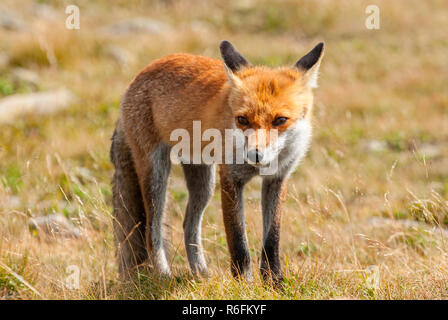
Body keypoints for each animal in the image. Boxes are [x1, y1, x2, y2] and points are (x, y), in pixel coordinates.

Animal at [110, 40, 324, 282]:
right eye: (242, 119)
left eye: (280, 120)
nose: (254, 155)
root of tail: (135, 79)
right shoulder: (230, 177)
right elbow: (238, 239)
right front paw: (244, 282)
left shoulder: (277, 179)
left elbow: (272, 238)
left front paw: (274, 281)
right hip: (157, 175)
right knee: (151, 231)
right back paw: (164, 277)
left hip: (204, 181)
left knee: (188, 224)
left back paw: (201, 274)